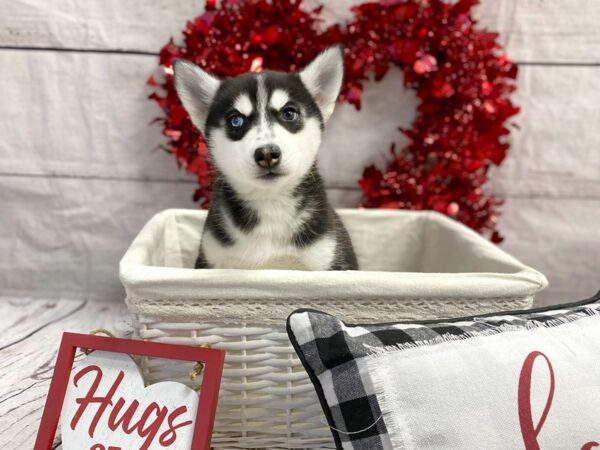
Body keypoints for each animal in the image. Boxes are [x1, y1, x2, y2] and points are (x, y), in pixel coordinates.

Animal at [172, 45, 356, 270]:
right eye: (236, 120)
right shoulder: (211, 256)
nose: (267, 153)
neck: (270, 203)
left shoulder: (328, 256)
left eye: (289, 113)